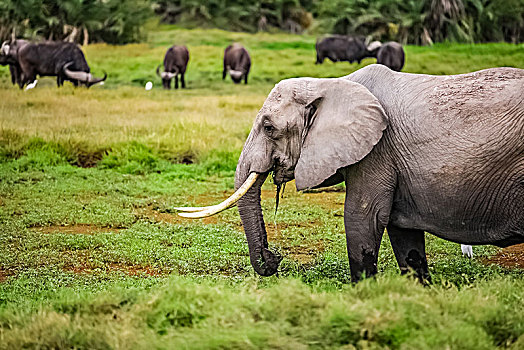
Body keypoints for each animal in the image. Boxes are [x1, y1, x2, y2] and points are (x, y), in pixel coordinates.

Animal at [177, 63, 524, 282]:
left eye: (269, 127)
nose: (274, 258)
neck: (331, 83)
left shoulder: (378, 150)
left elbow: (362, 217)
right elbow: (403, 232)